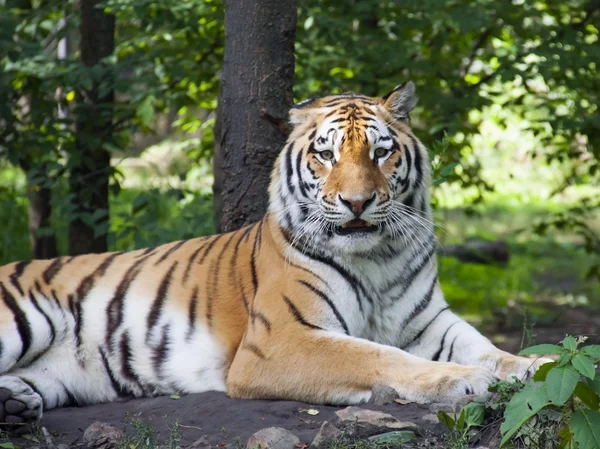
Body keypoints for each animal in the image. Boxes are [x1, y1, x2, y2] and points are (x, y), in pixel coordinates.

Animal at [0, 81, 548, 424]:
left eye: (380, 152)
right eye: (326, 154)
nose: (357, 202)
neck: (376, 258)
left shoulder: (429, 322)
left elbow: (492, 350)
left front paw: (534, 367)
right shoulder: (282, 339)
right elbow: (379, 355)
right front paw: (466, 381)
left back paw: (16, 405)